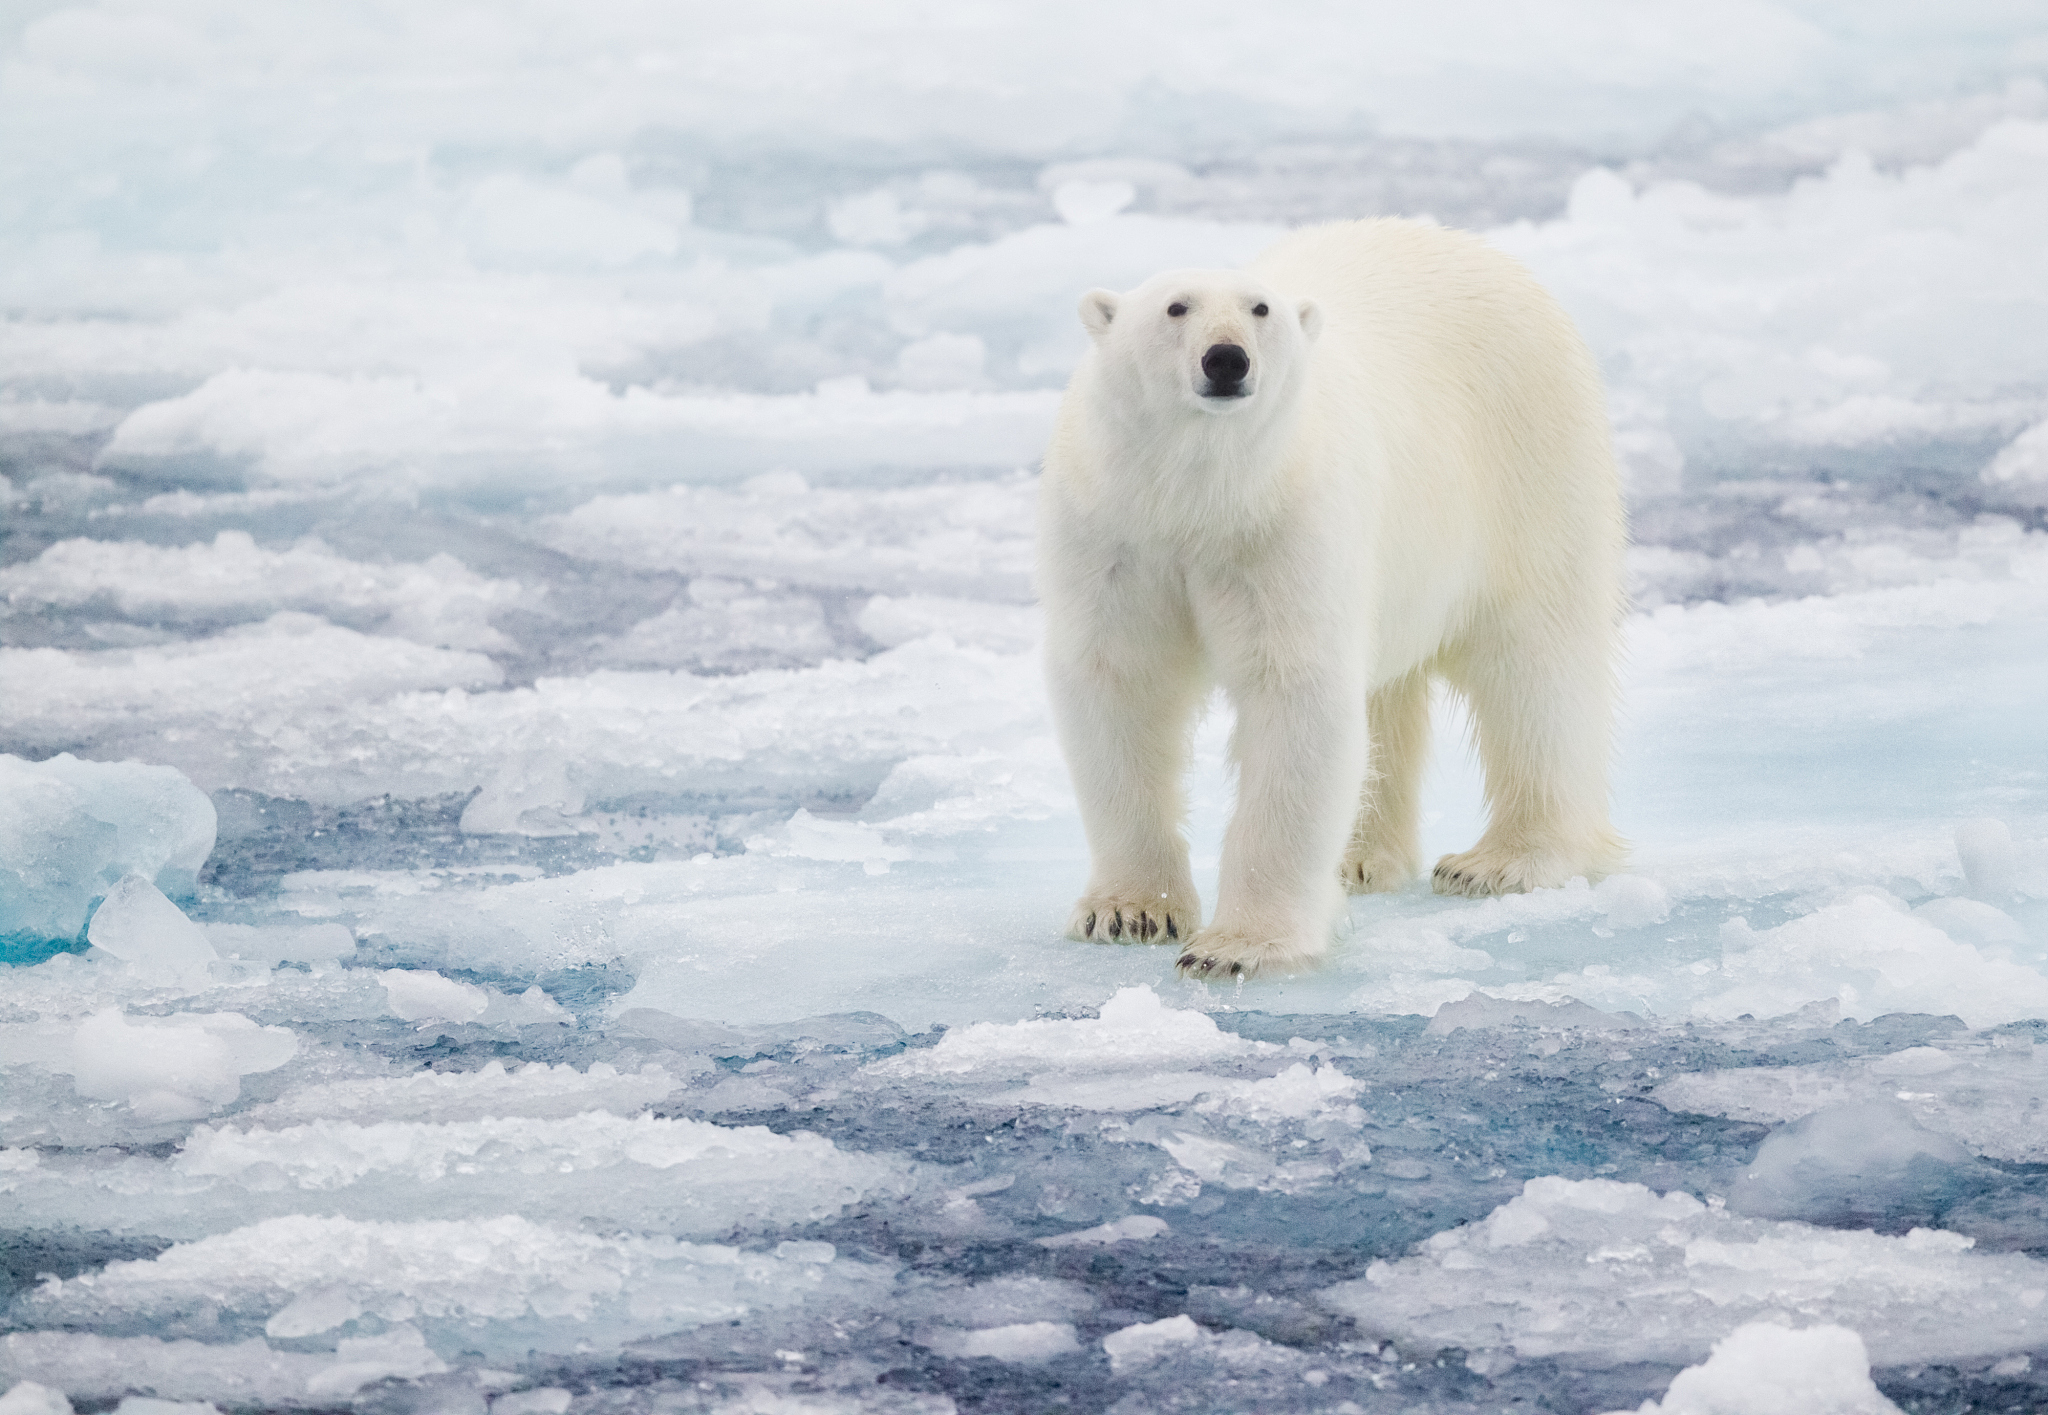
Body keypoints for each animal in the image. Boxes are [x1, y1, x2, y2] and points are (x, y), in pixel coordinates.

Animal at [1038, 217, 1627, 978]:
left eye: (1261, 309)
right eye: (1176, 307)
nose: (1227, 360)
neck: (1198, 495)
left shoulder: (1282, 526)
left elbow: (1294, 693)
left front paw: (1238, 947)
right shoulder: (1115, 531)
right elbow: (1119, 680)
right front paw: (1128, 910)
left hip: (1530, 464)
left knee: (1536, 667)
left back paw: (1501, 861)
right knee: (1391, 695)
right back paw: (1362, 859)